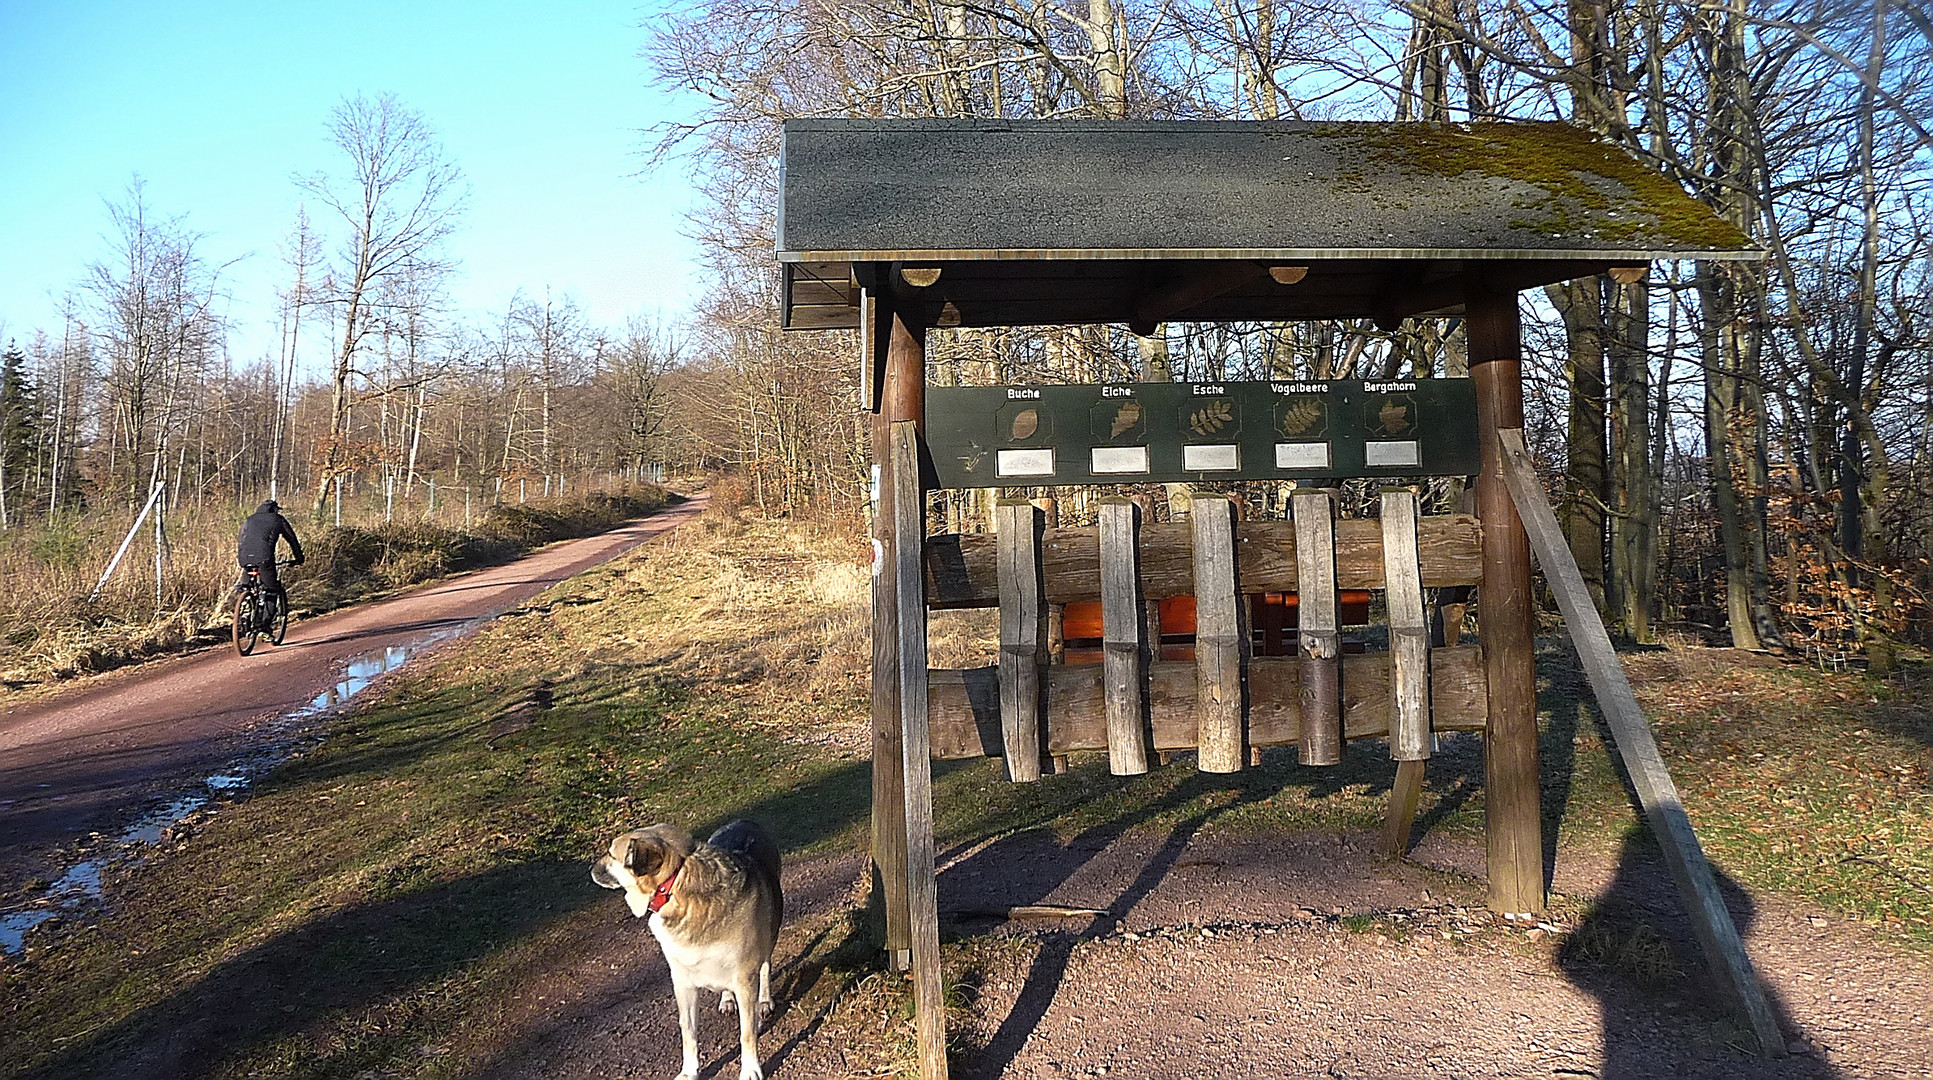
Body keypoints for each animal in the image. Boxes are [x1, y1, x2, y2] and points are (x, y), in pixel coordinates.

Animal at [591, 819, 780, 1080]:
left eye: (611, 854)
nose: (591, 869)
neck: (674, 887)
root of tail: (743, 821)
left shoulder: (744, 978)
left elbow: (747, 1033)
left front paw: (750, 1069)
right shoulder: (683, 982)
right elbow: (688, 1031)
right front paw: (689, 1071)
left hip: (769, 935)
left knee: (765, 967)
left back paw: (763, 1001)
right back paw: (727, 999)